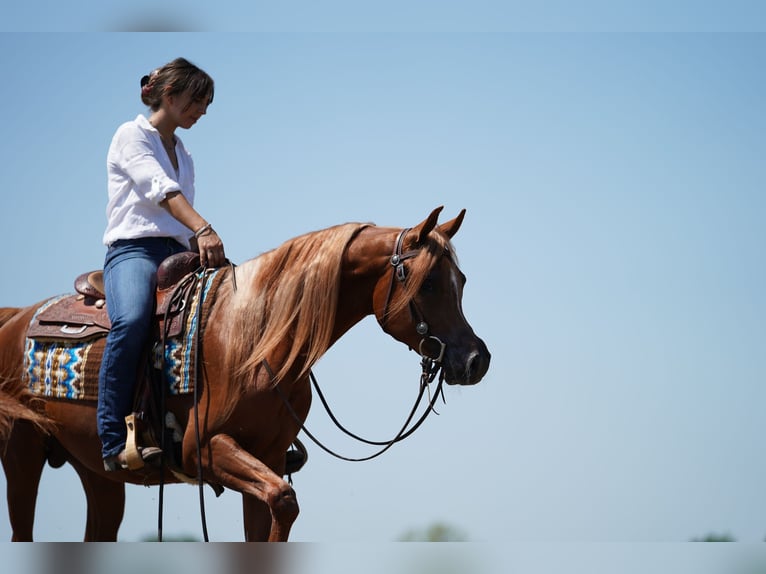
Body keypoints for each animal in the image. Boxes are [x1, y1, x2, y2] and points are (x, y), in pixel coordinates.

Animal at [0, 206, 490, 541]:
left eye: (463, 281)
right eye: (429, 283)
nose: (475, 360)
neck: (255, 340)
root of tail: (15, 317)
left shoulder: (268, 459)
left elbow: (277, 510)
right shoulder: (204, 449)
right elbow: (284, 500)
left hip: (97, 475)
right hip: (21, 453)